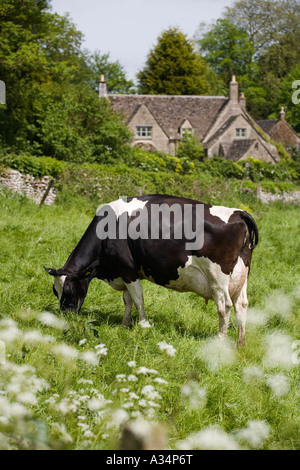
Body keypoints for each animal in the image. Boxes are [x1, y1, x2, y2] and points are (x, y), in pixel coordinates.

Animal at [44, 194, 258, 346]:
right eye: (55, 291)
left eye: (69, 290)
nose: (65, 316)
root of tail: (238, 212)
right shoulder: (125, 272)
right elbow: (127, 299)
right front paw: (125, 324)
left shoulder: (128, 269)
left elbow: (138, 299)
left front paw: (143, 325)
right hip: (242, 276)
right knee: (241, 305)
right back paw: (241, 343)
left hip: (217, 278)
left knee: (224, 307)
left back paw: (220, 343)